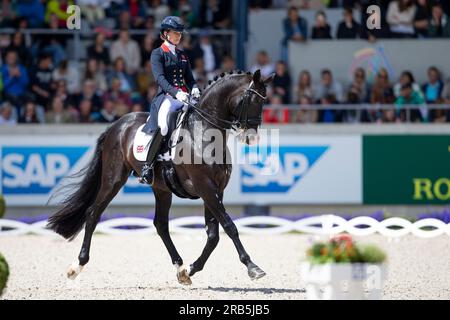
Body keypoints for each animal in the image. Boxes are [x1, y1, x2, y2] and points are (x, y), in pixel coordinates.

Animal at [48, 70, 274, 284]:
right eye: (252, 100)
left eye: (264, 102)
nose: (252, 138)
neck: (203, 131)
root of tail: (117, 124)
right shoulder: (205, 187)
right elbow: (229, 226)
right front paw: (253, 267)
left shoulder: (216, 189)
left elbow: (213, 236)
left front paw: (191, 269)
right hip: (113, 179)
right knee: (93, 213)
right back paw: (77, 266)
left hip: (161, 188)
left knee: (161, 225)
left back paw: (180, 267)